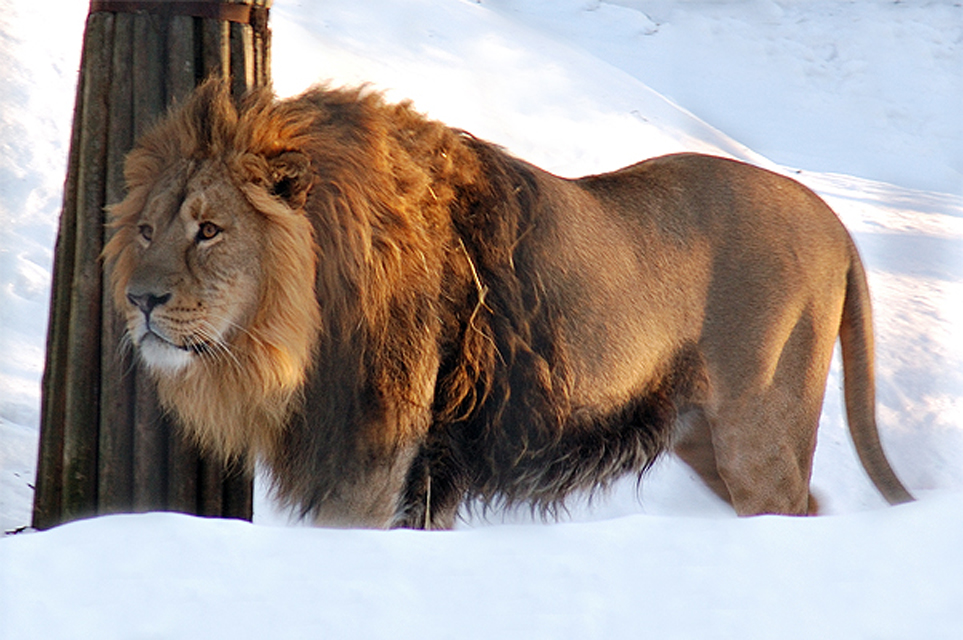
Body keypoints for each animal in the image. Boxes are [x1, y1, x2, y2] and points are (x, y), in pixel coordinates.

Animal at [103, 78, 913, 529]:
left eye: (209, 230)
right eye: (145, 230)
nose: (140, 300)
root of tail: (833, 220)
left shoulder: (373, 455)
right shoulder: (422, 471)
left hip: (757, 434)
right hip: (703, 439)